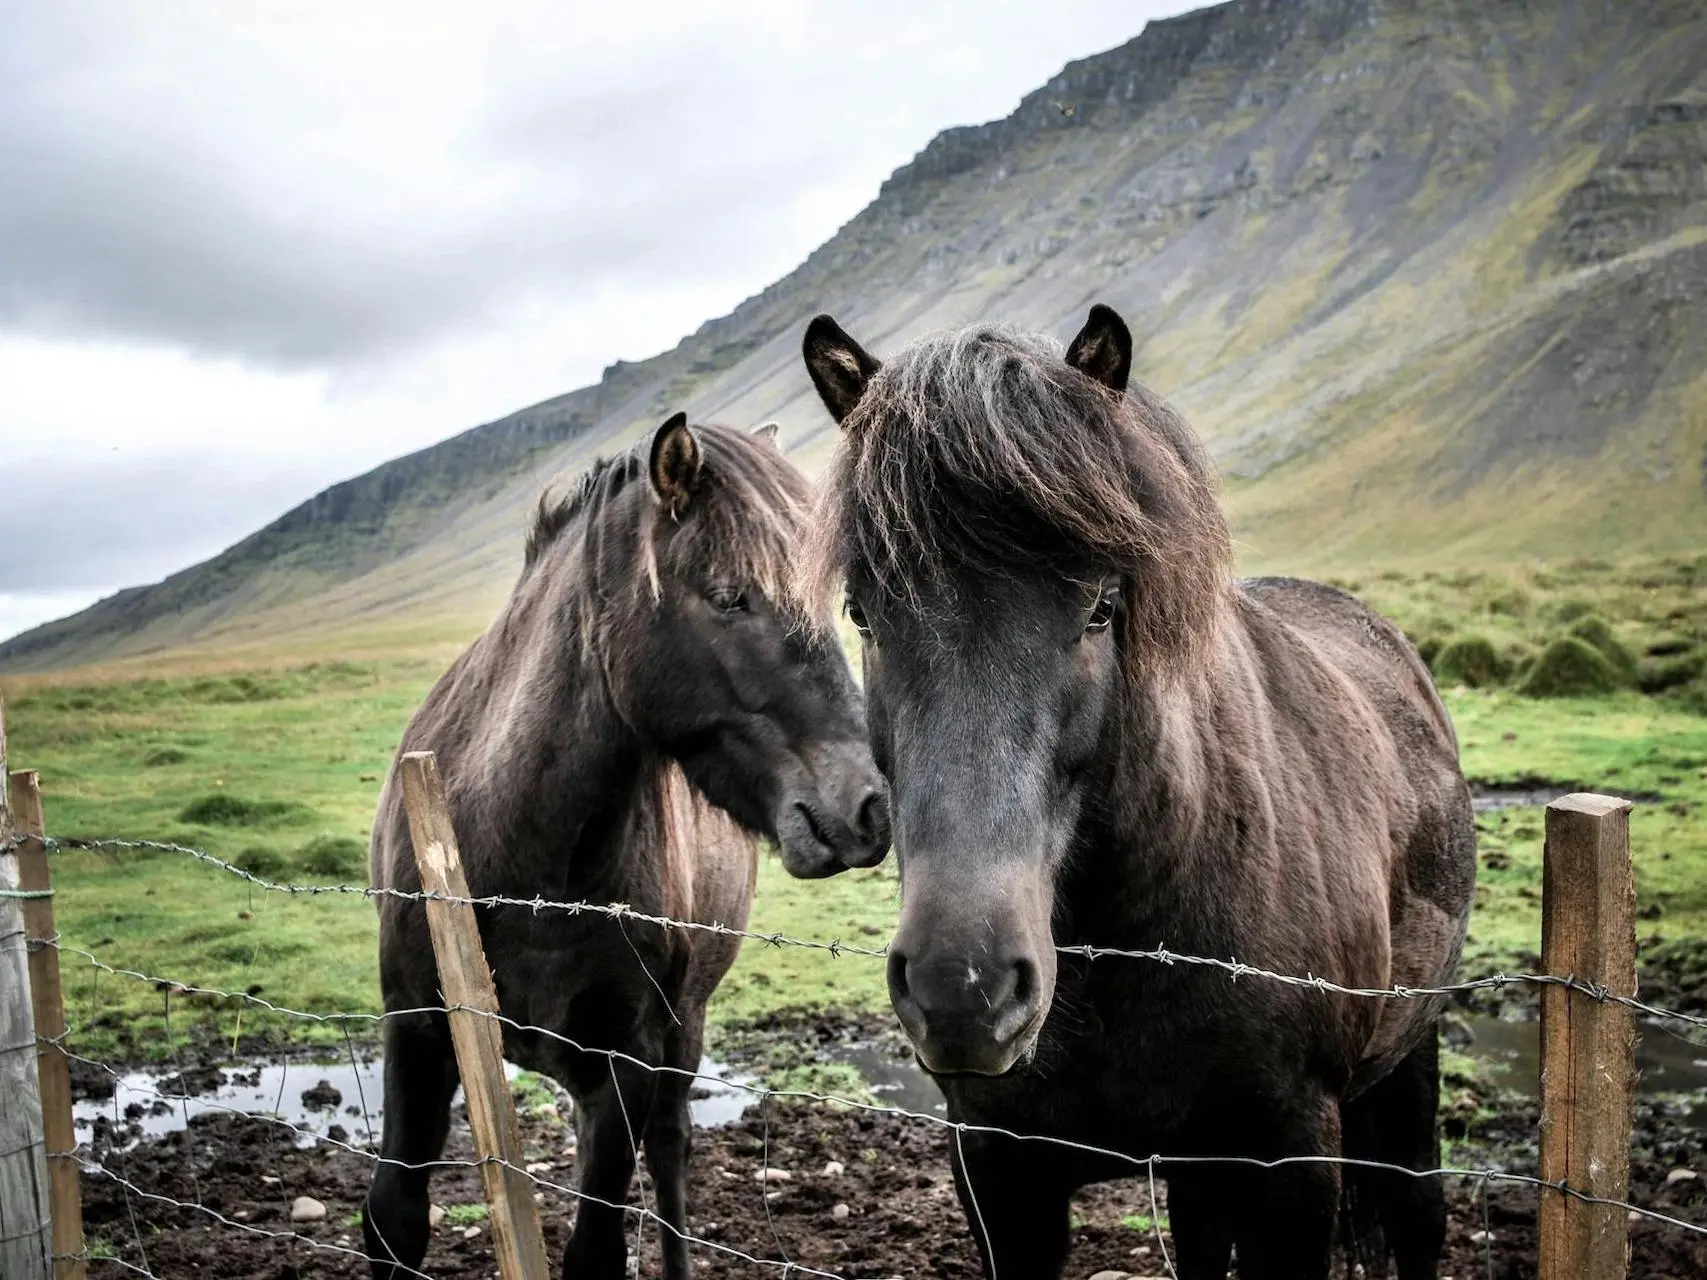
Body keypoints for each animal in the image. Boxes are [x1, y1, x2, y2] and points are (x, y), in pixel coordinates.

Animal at [365, 416, 887, 1276]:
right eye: (729, 597)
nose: (869, 807)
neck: (529, 866)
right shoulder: (417, 1027)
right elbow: (395, 1219)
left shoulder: (629, 1058)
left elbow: (598, 1245)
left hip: (680, 1033)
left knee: (669, 1157)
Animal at [792, 310, 1474, 1280]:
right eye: (862, 614)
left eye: (1100, 609)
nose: (963, 989)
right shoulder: (1000, 1174)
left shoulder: (1293, 1167)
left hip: (1409, 1064)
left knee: (1417, 1214)